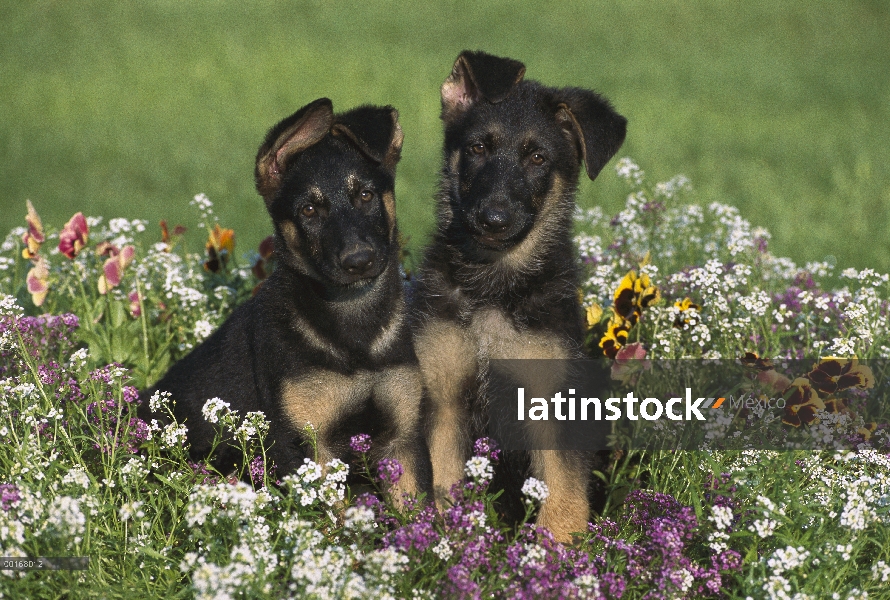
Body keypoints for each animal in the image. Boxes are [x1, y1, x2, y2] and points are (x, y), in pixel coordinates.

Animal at [140, 98, 428, 500]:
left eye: (366, 195)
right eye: (308, 210)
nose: (358, 261)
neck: (354, 327)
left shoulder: (404, 439)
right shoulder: (306, 444)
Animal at [414, 50, 628, 540]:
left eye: (537, 157)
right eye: (477, 148)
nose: (493, 219)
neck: (494, 283)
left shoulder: (554, 407)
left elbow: (563, 499)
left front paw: (555, 552)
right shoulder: (445, 399)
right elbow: (445, 482)